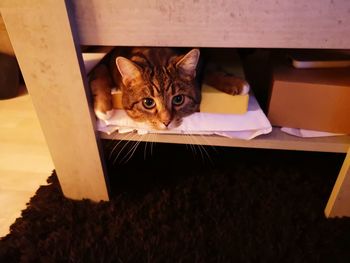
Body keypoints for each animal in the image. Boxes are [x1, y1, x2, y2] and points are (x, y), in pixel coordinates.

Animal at [90, 48, 249, 130]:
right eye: (148, 102)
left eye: (178, 99)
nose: (166, 122)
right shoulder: (107, 58)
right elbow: (99, 71)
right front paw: (103, 108)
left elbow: (209, 70)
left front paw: (236, 82)